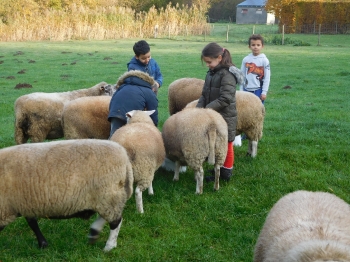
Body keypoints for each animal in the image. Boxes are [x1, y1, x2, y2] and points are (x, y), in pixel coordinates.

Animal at [0, 139, 133, 252]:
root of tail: (124, 156)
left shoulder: (7, 208)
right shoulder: (25, 204)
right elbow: (32, 223)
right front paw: (43, 244)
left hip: (108, 194)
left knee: (115, 221)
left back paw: (109, 246)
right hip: (106, 197)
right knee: (106, 217)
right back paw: (94, 233)